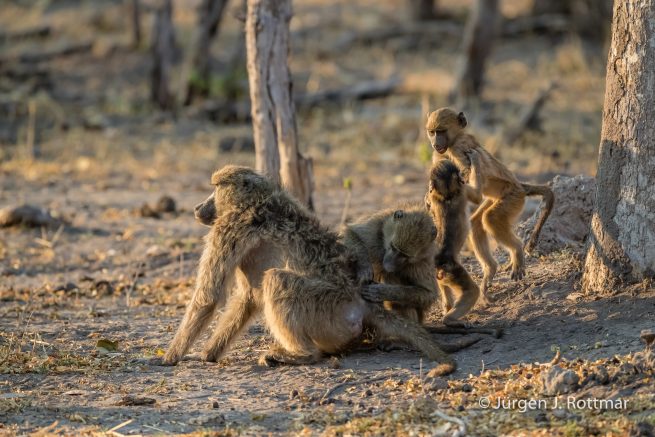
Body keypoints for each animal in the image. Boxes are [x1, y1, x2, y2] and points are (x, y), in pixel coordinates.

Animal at [163, 165, 466, 376]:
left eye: (214, 189)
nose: (198, 207)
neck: (257, 200)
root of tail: (361, 299)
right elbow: (248, 296)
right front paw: (209, 354)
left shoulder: (228, 228)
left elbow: (208, 297)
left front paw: (169, 357)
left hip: (328, 311)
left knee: (276, 280)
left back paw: (299, 355)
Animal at [425, 107, 555, 300]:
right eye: (432, 132)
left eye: (441, 131)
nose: (435, 143)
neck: (454, 139)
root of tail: (520, 186)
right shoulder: (439, 155)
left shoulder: (459, 148)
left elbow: (467, 178)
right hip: (497, 199)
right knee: (476, 222)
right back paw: (490, 270)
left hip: (512, 197)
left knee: (490, 218)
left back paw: (517, 250)